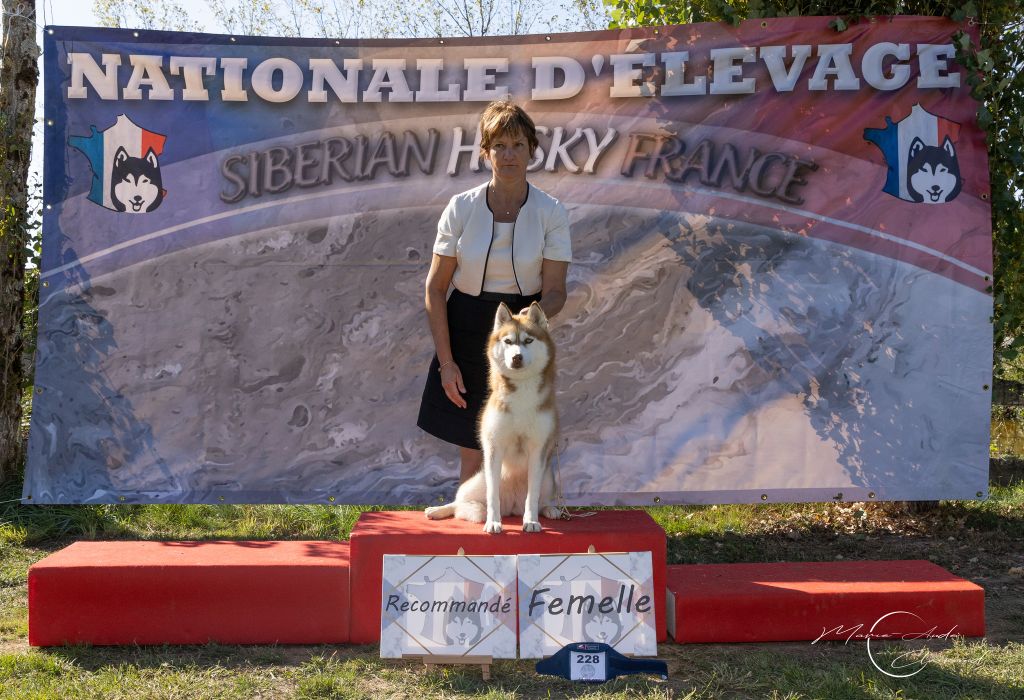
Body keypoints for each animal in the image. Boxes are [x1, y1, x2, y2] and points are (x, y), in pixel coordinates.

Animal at [425, 301, 561, 533]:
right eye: (508, 341)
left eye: (528, 340)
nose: (516, 357)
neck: (522, 392)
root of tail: (512, 507)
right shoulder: (494, 448)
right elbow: (492, 496)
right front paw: (493, 522)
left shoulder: (539, 450)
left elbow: (532, 496)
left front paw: (531, 521)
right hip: (476, 480)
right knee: (460, 502)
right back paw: (440, 510)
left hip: (548, 477)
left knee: (540, 499)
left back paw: (550, 509)